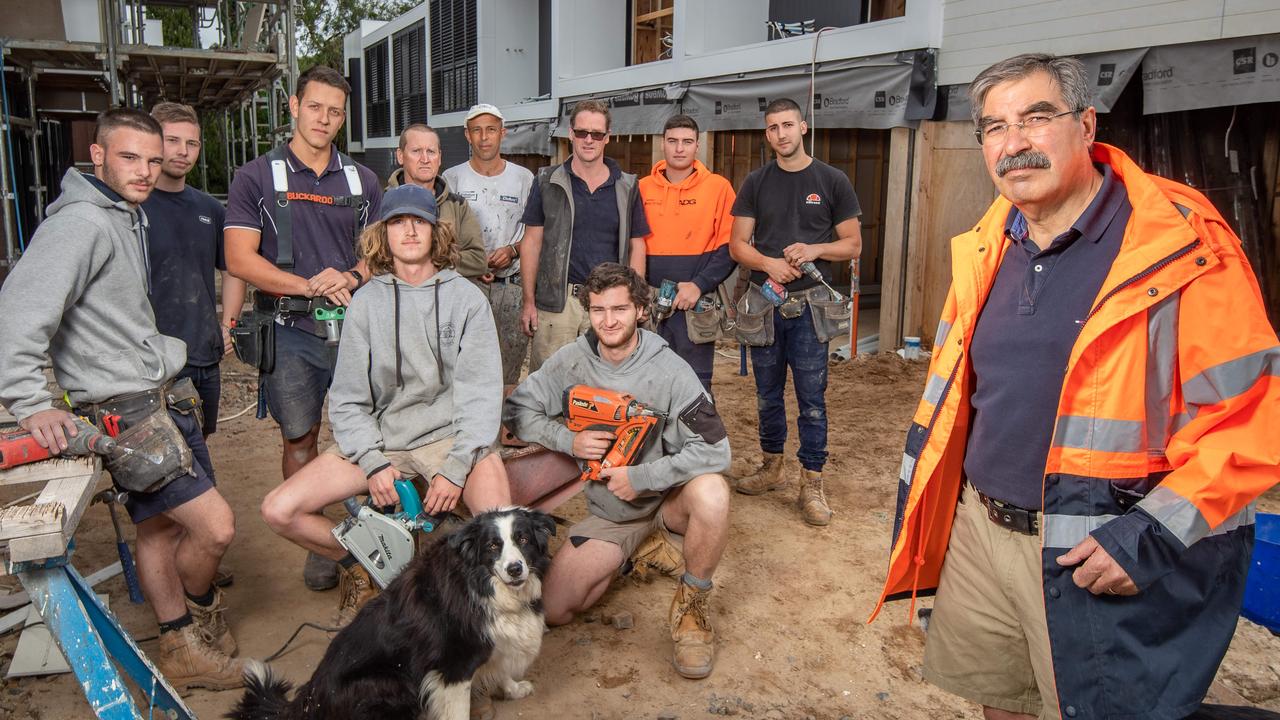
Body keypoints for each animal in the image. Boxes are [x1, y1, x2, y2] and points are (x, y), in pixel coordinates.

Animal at [229, 504, 555, 717]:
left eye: (523, 539)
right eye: (492, 546)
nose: (515, 569)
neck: (482, 585)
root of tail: (310, 699)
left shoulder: (493, 642)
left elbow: (502, 668)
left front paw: (513, 689)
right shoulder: (453, 667)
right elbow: (457, 711)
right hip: (390, 683)